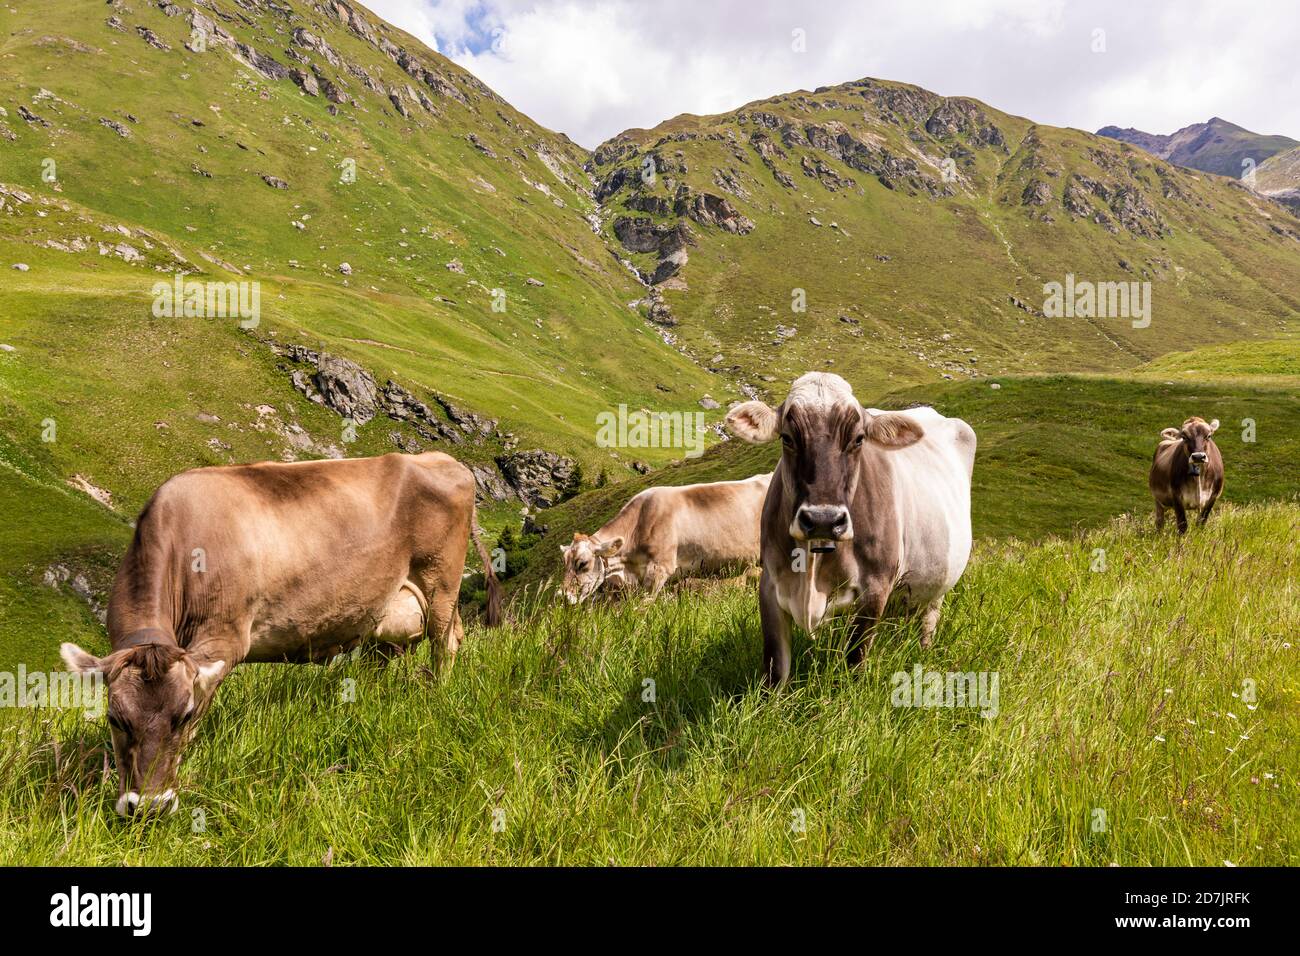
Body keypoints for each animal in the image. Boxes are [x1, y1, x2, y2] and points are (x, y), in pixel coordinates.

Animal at [59, 451, 501, 817]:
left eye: (182, 716)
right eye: (115, 719)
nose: (149, 807)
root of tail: (443, 459)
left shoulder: (222, 640)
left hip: (442, 583)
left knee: (445, 643)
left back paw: (437, 696)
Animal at [726, 373, 975, 686]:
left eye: (859, 439)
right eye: (787, 437)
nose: (823, 519)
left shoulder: (875, 588)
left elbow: (855, 658)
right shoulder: (770, 584)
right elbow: (776, 669)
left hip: (939, 584)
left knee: (929, 618)